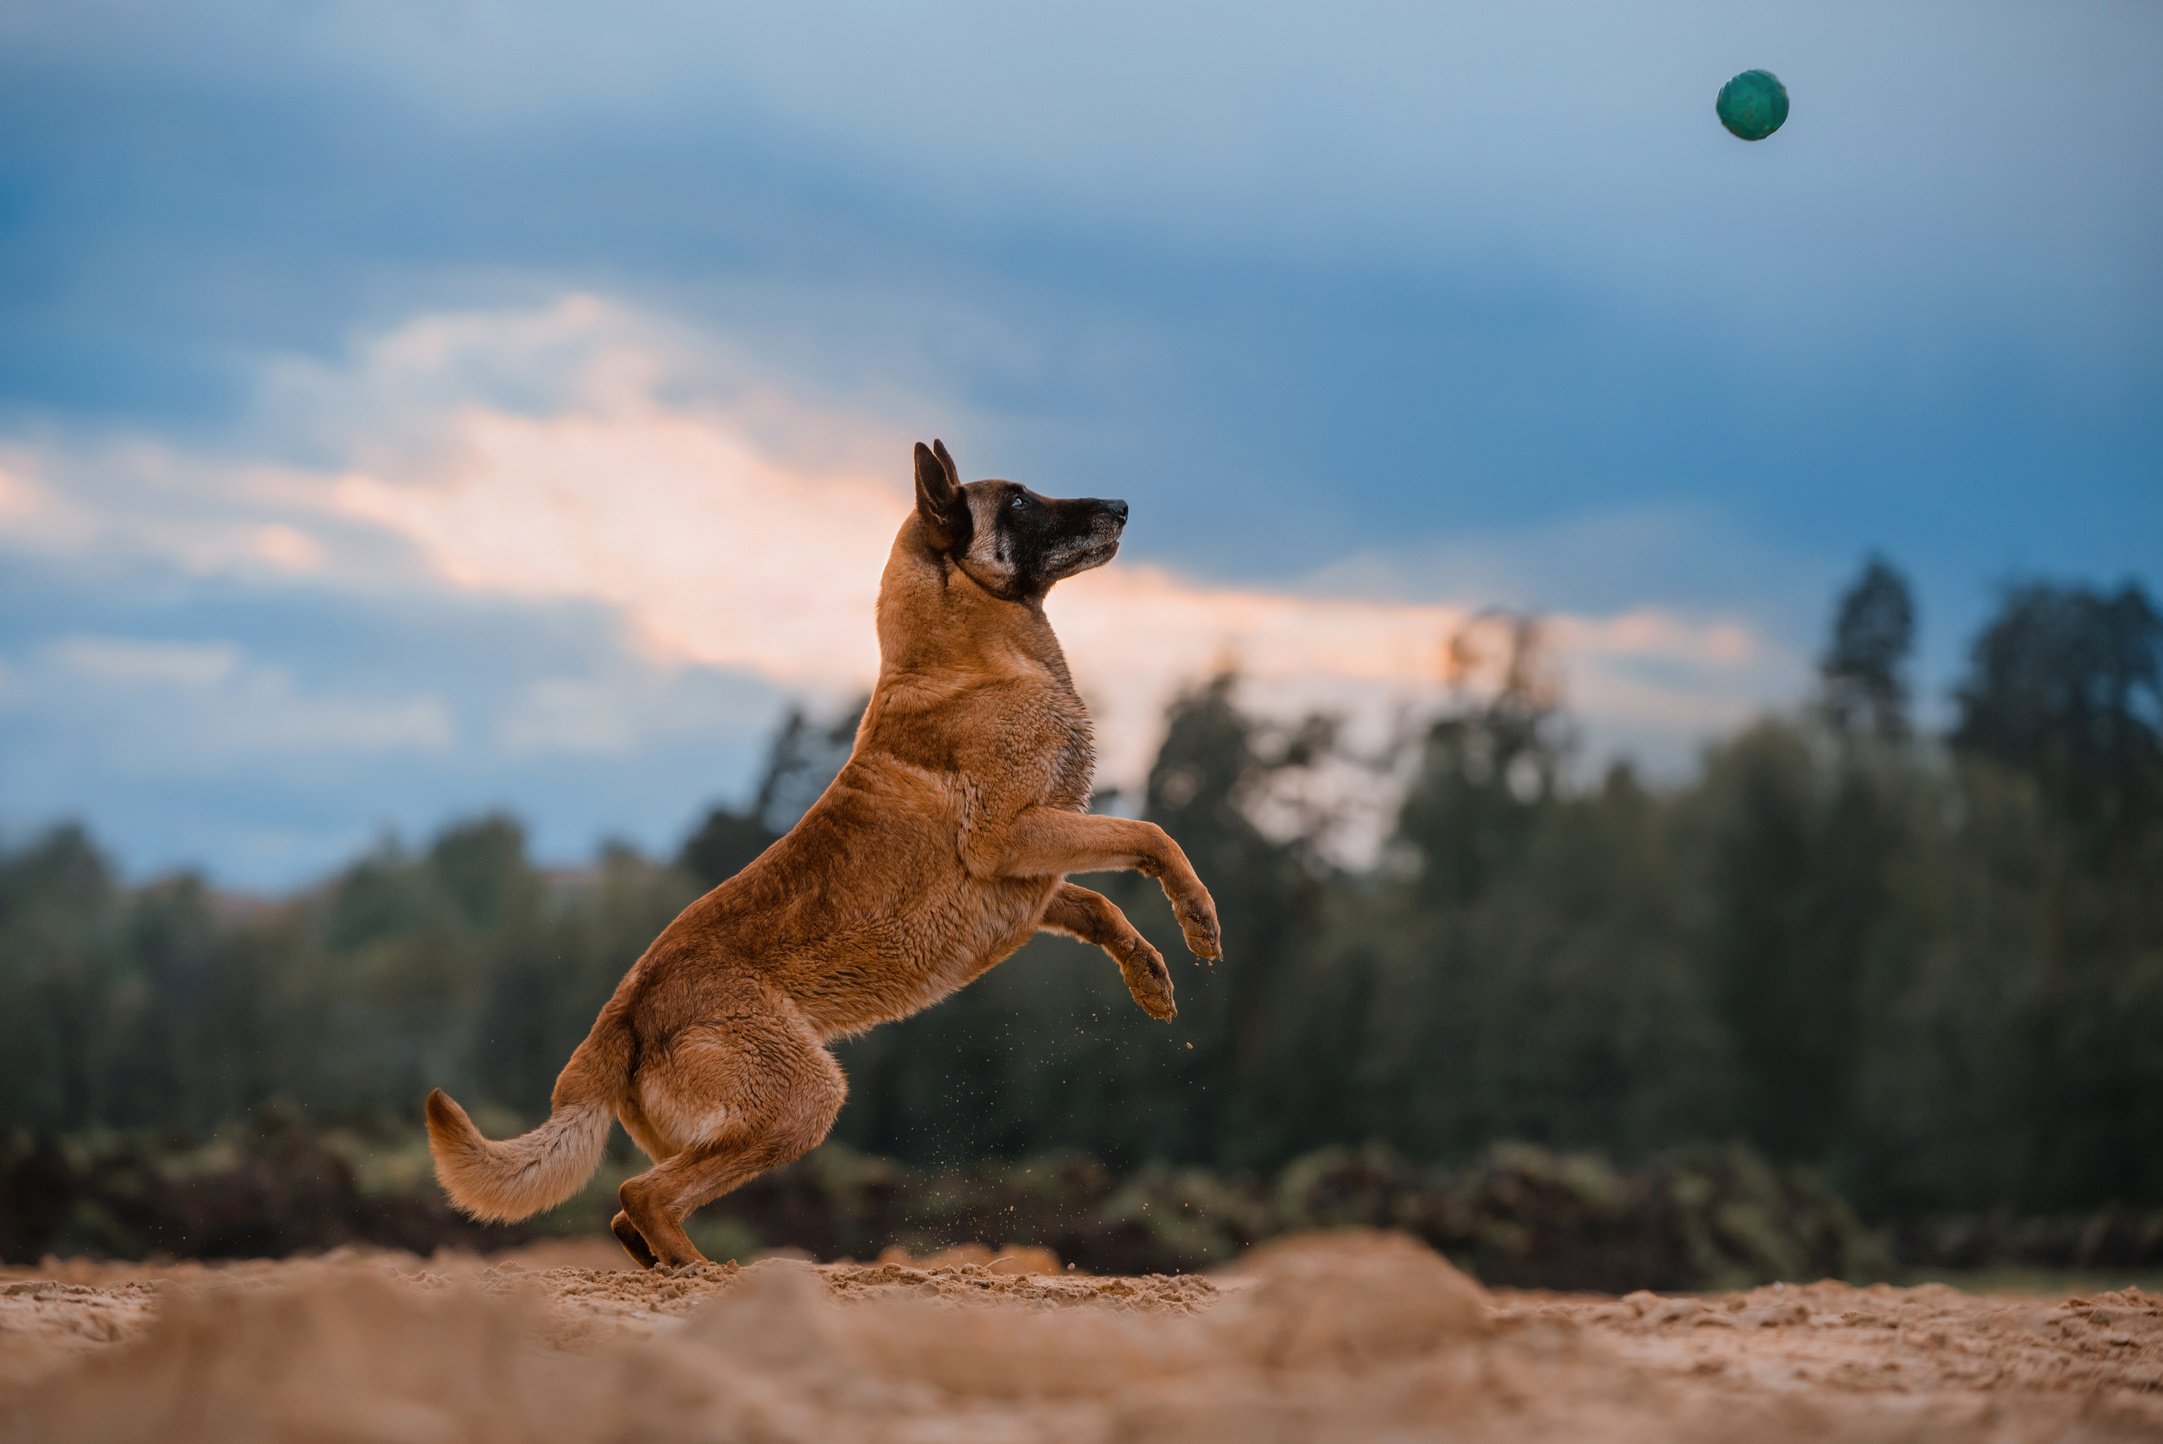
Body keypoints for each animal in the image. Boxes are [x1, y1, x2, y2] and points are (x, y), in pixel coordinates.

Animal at [426, 436, 1219, 1262]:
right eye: (1020, 501)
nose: (1122, 506)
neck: (972, 654)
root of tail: (620, 1017)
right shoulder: (1012, 837)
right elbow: (1150, 836)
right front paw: (1198, 916)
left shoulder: (1032, 878)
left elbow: (1099, 905)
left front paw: (1151, 977)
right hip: (800, 1100)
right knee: (640, 1195)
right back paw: (705, 1275)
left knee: (630, 1211)